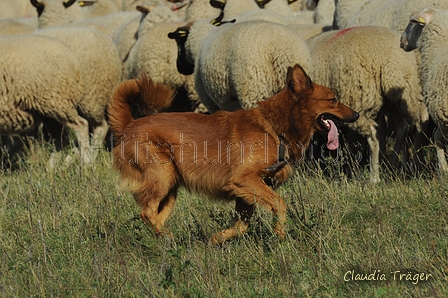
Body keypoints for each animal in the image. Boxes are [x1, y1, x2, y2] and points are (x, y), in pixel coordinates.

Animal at [168, 18, 312, 113]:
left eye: (179, 42)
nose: (179, 67)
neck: (200, 43)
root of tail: (283, 53)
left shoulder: (212, 102)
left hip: (254, 92)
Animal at [306, 25, 428, 183]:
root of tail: (391, 58)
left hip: (360, 98)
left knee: (374, 136)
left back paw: (374, 177)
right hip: (403, 95)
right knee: (402, 127)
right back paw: (392, 164)